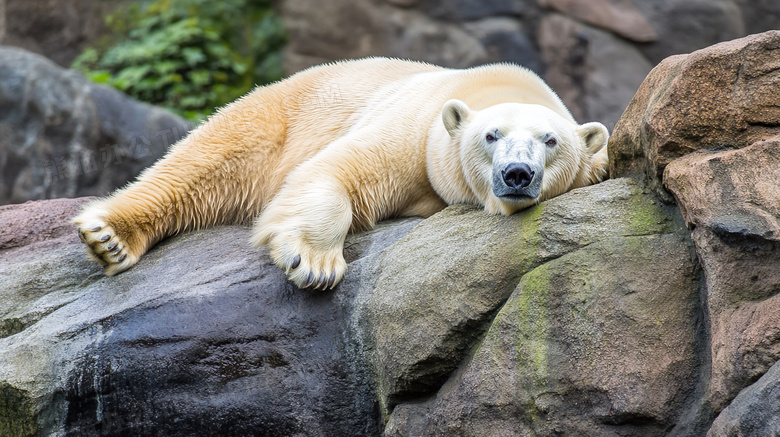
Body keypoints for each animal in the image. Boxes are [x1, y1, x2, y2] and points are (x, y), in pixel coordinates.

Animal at [73, 57, 608, 290]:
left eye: (550, 141)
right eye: (491, 136)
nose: (517, 174)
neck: (494, 85)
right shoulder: (417, 130)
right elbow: (337, 171)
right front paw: (312, 262)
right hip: (274, 115)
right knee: (202, 164)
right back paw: (112, 236)